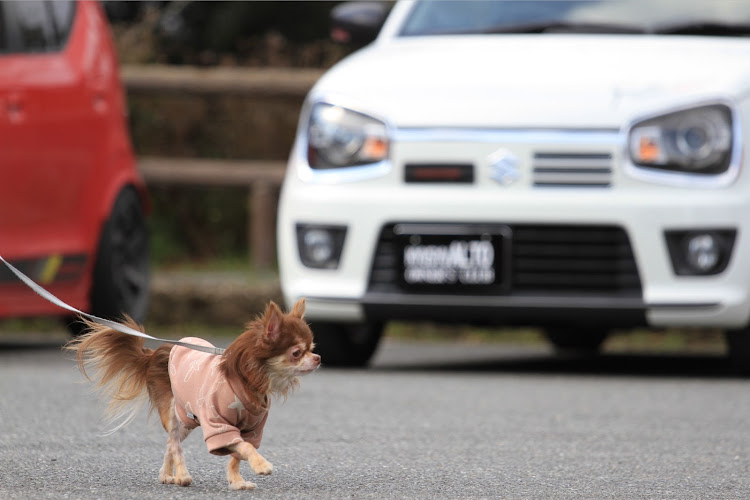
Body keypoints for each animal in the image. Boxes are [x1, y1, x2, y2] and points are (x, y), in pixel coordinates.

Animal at [65, 298, 320, 490]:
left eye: (312, 348)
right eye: (297, 353)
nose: (318, 358)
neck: (248, 382)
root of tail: (154, 352)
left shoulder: (250, 429)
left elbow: (237, 455)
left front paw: (237, 481)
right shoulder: (218, 426)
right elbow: (243, 449)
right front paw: (261, 465)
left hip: (188, 419)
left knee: (170, 443)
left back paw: (168, 474)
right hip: (174, 412)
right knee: (174, 442)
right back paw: (182, 475)